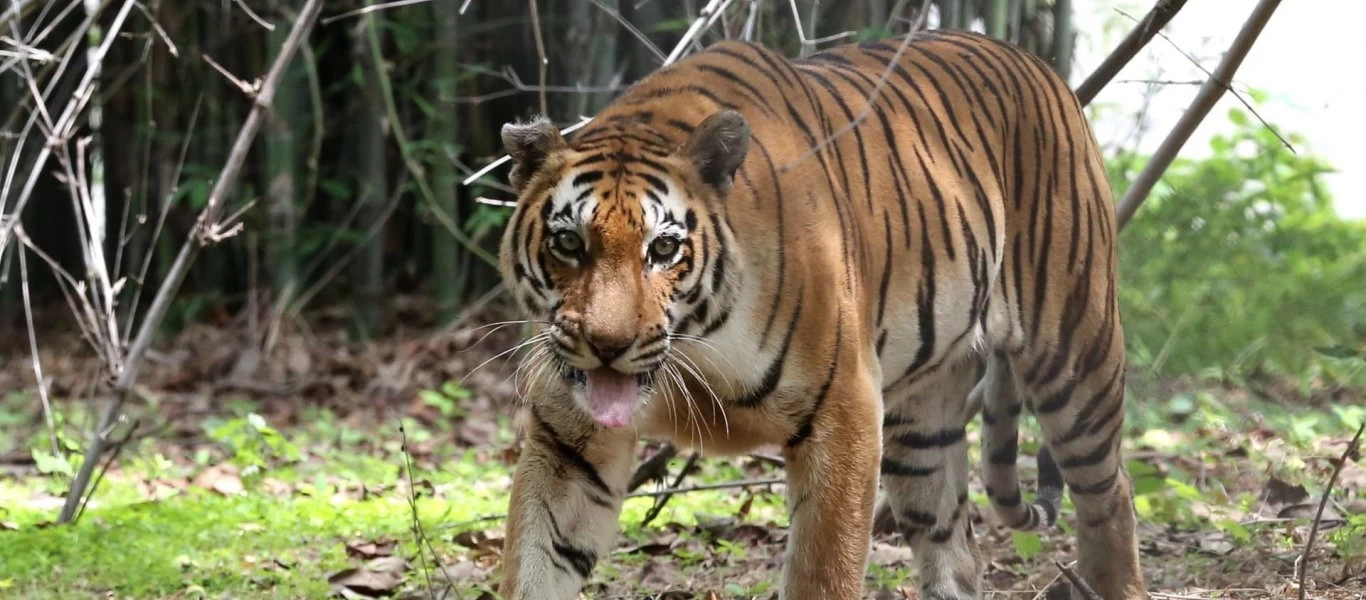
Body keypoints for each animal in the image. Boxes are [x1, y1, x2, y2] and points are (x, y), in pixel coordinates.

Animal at [489, 28, 1141, 600]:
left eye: (664, 249)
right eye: (568, 242)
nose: (607, 345)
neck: (697, 347)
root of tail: (1038, 64)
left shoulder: (844, 409)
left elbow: (824, 572)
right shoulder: (569, 443)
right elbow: (537, 563)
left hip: (1075, 356)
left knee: (1111, 496)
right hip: (921, 424)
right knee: (955, 548)